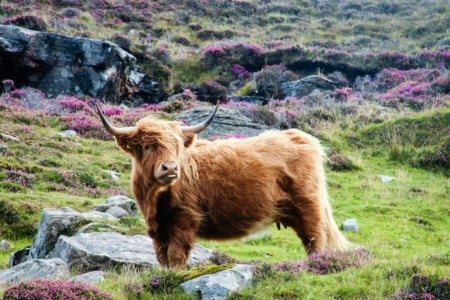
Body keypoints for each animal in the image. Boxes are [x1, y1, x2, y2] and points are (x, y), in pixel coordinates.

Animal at [96, 103, 352, 270]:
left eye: (177, 146)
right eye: (147, 146)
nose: (170, 168)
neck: (154, 199)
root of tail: (299, 136)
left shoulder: (184, 220)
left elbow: (176, 256)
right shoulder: (158, 229)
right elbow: (163, 258)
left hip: (308, 206)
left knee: (315, 240)